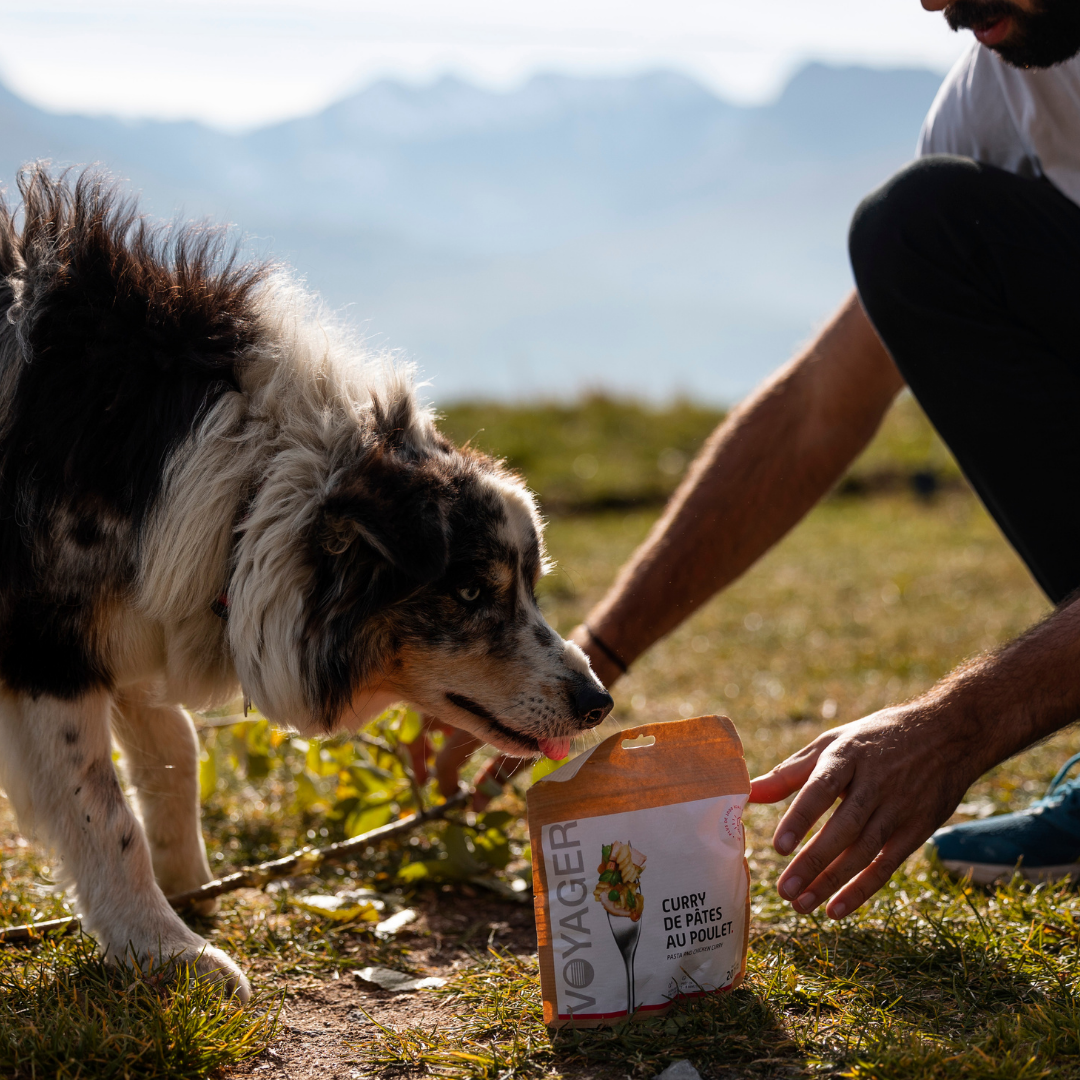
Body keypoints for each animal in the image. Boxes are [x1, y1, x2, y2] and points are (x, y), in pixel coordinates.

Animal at [0, 164, 613, 997]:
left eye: (529, 585)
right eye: (469, 592)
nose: (598, 702)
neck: (246, 484)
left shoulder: (130, 608)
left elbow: (174, 750)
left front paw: (189, 887)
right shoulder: (43, 642)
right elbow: (100, 807)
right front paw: (166, 952)